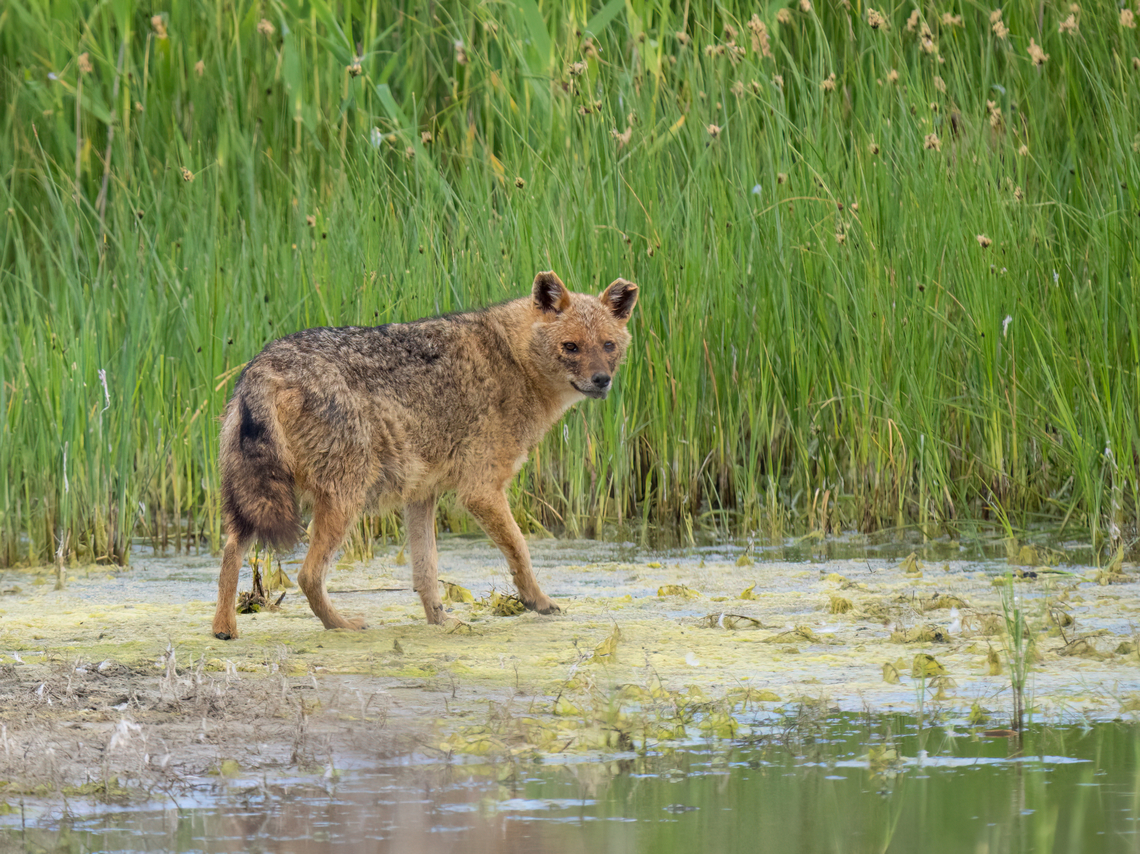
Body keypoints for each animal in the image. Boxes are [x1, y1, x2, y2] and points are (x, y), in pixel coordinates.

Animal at [211, 271, 639, 639]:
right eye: (570, 347)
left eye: (608, 346)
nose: (602, 380)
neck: (511, 360)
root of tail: (263, 365)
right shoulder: (481, 491)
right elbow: (520, 549)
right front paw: (540, 602)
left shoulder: (422, 495)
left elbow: (426, 572)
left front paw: (443, 623)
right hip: (341, 503)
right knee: (306, 575)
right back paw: (344, 626)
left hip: (256, 505)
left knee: (231, 553)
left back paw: (224, 629)